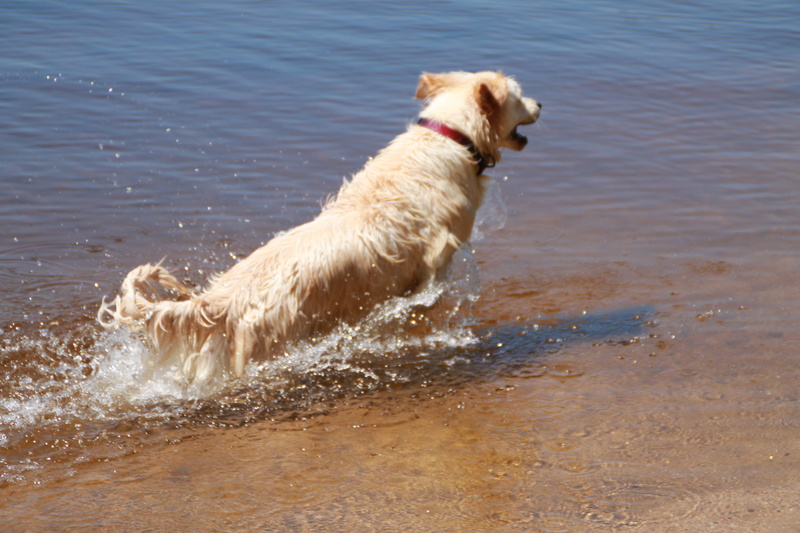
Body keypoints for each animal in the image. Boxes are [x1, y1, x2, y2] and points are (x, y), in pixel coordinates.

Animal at [97, 70, 540, 382]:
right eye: (519, 94)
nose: (539, 102)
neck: (452, 137)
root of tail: (222, 301)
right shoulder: (439, 252)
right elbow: (428, 291)